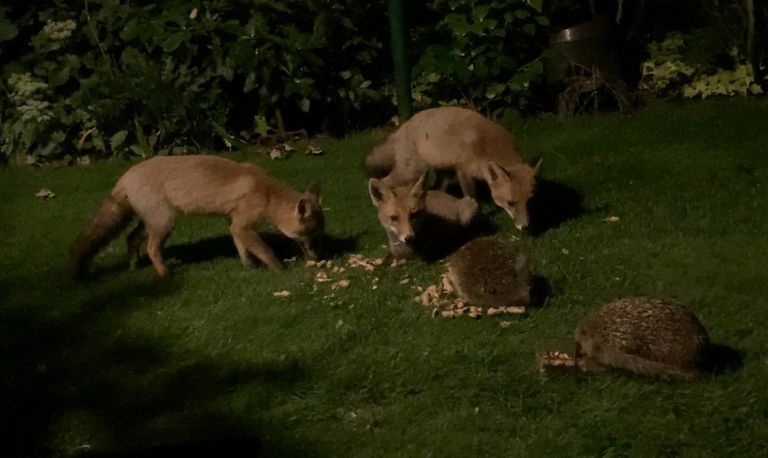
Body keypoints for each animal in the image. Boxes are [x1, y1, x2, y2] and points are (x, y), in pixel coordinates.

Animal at [366, 106, 540, 229]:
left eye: (529, 200)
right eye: (511, 203)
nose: (524, 226)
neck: (485, 145)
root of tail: (402, 128)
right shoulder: (462, 170)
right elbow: (472, 197)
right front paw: (476, 217)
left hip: (443, 173)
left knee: (435, 188)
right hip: (410, 171)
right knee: (385, 182)